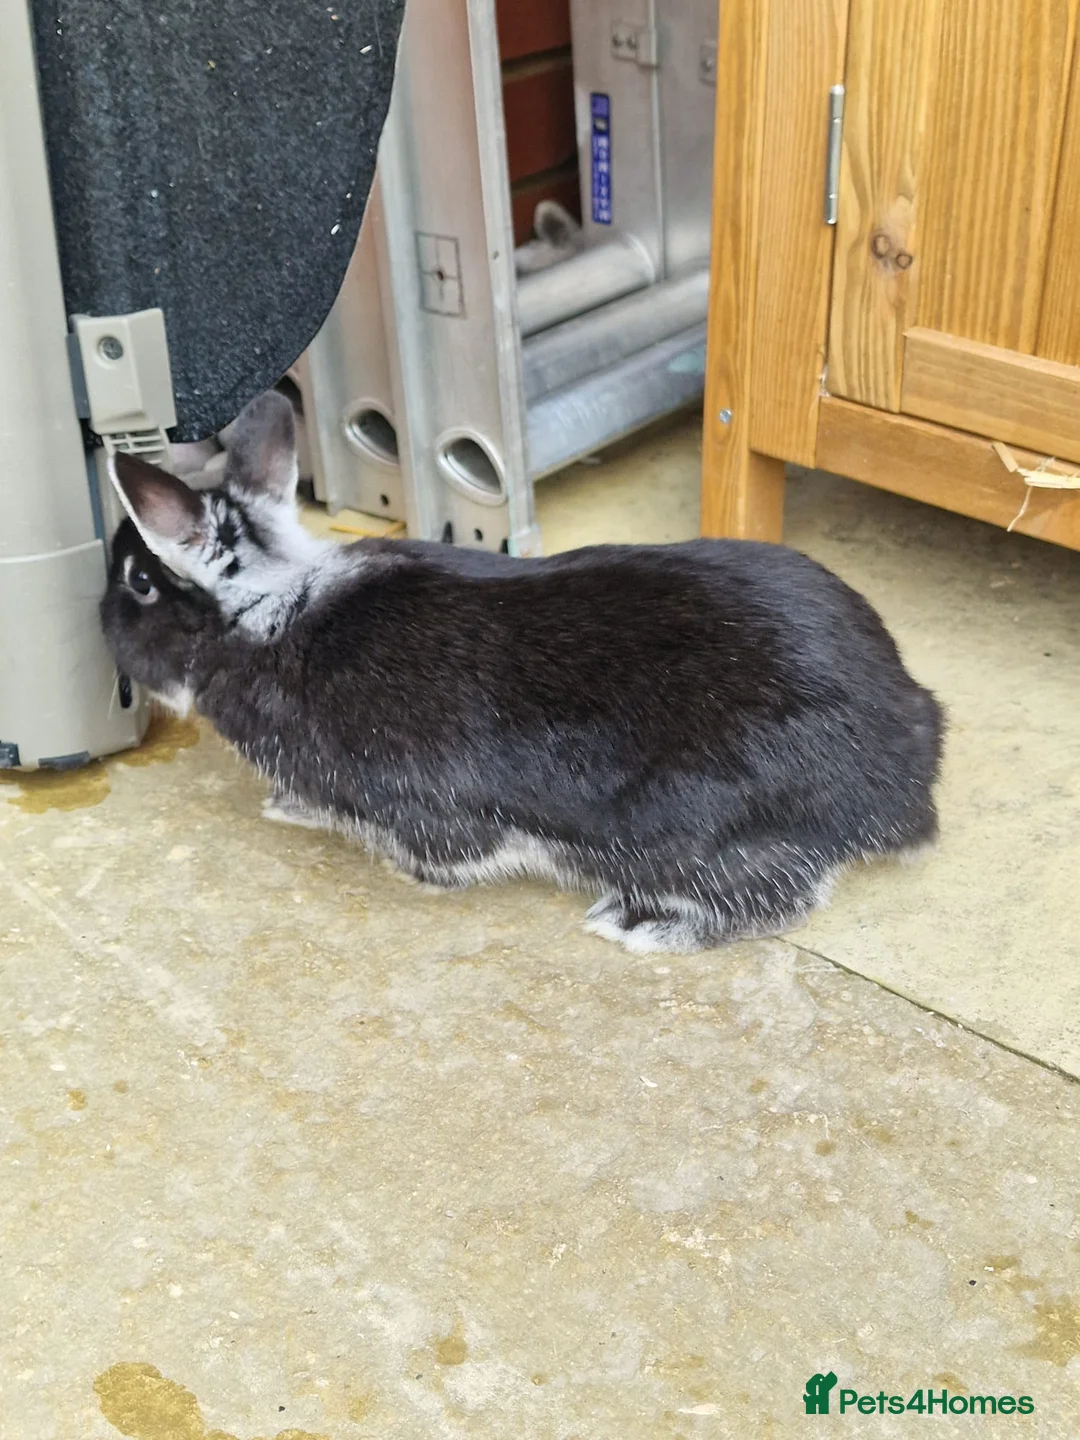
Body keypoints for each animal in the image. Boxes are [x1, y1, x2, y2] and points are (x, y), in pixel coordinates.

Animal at [99, 391, 944, 954]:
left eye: (138, 584)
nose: (101, 631)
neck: (274, 608)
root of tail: (906, 768)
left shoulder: (427, 809)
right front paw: (290, 807)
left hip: (687, 827)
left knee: (777, 895)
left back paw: (640, 923)